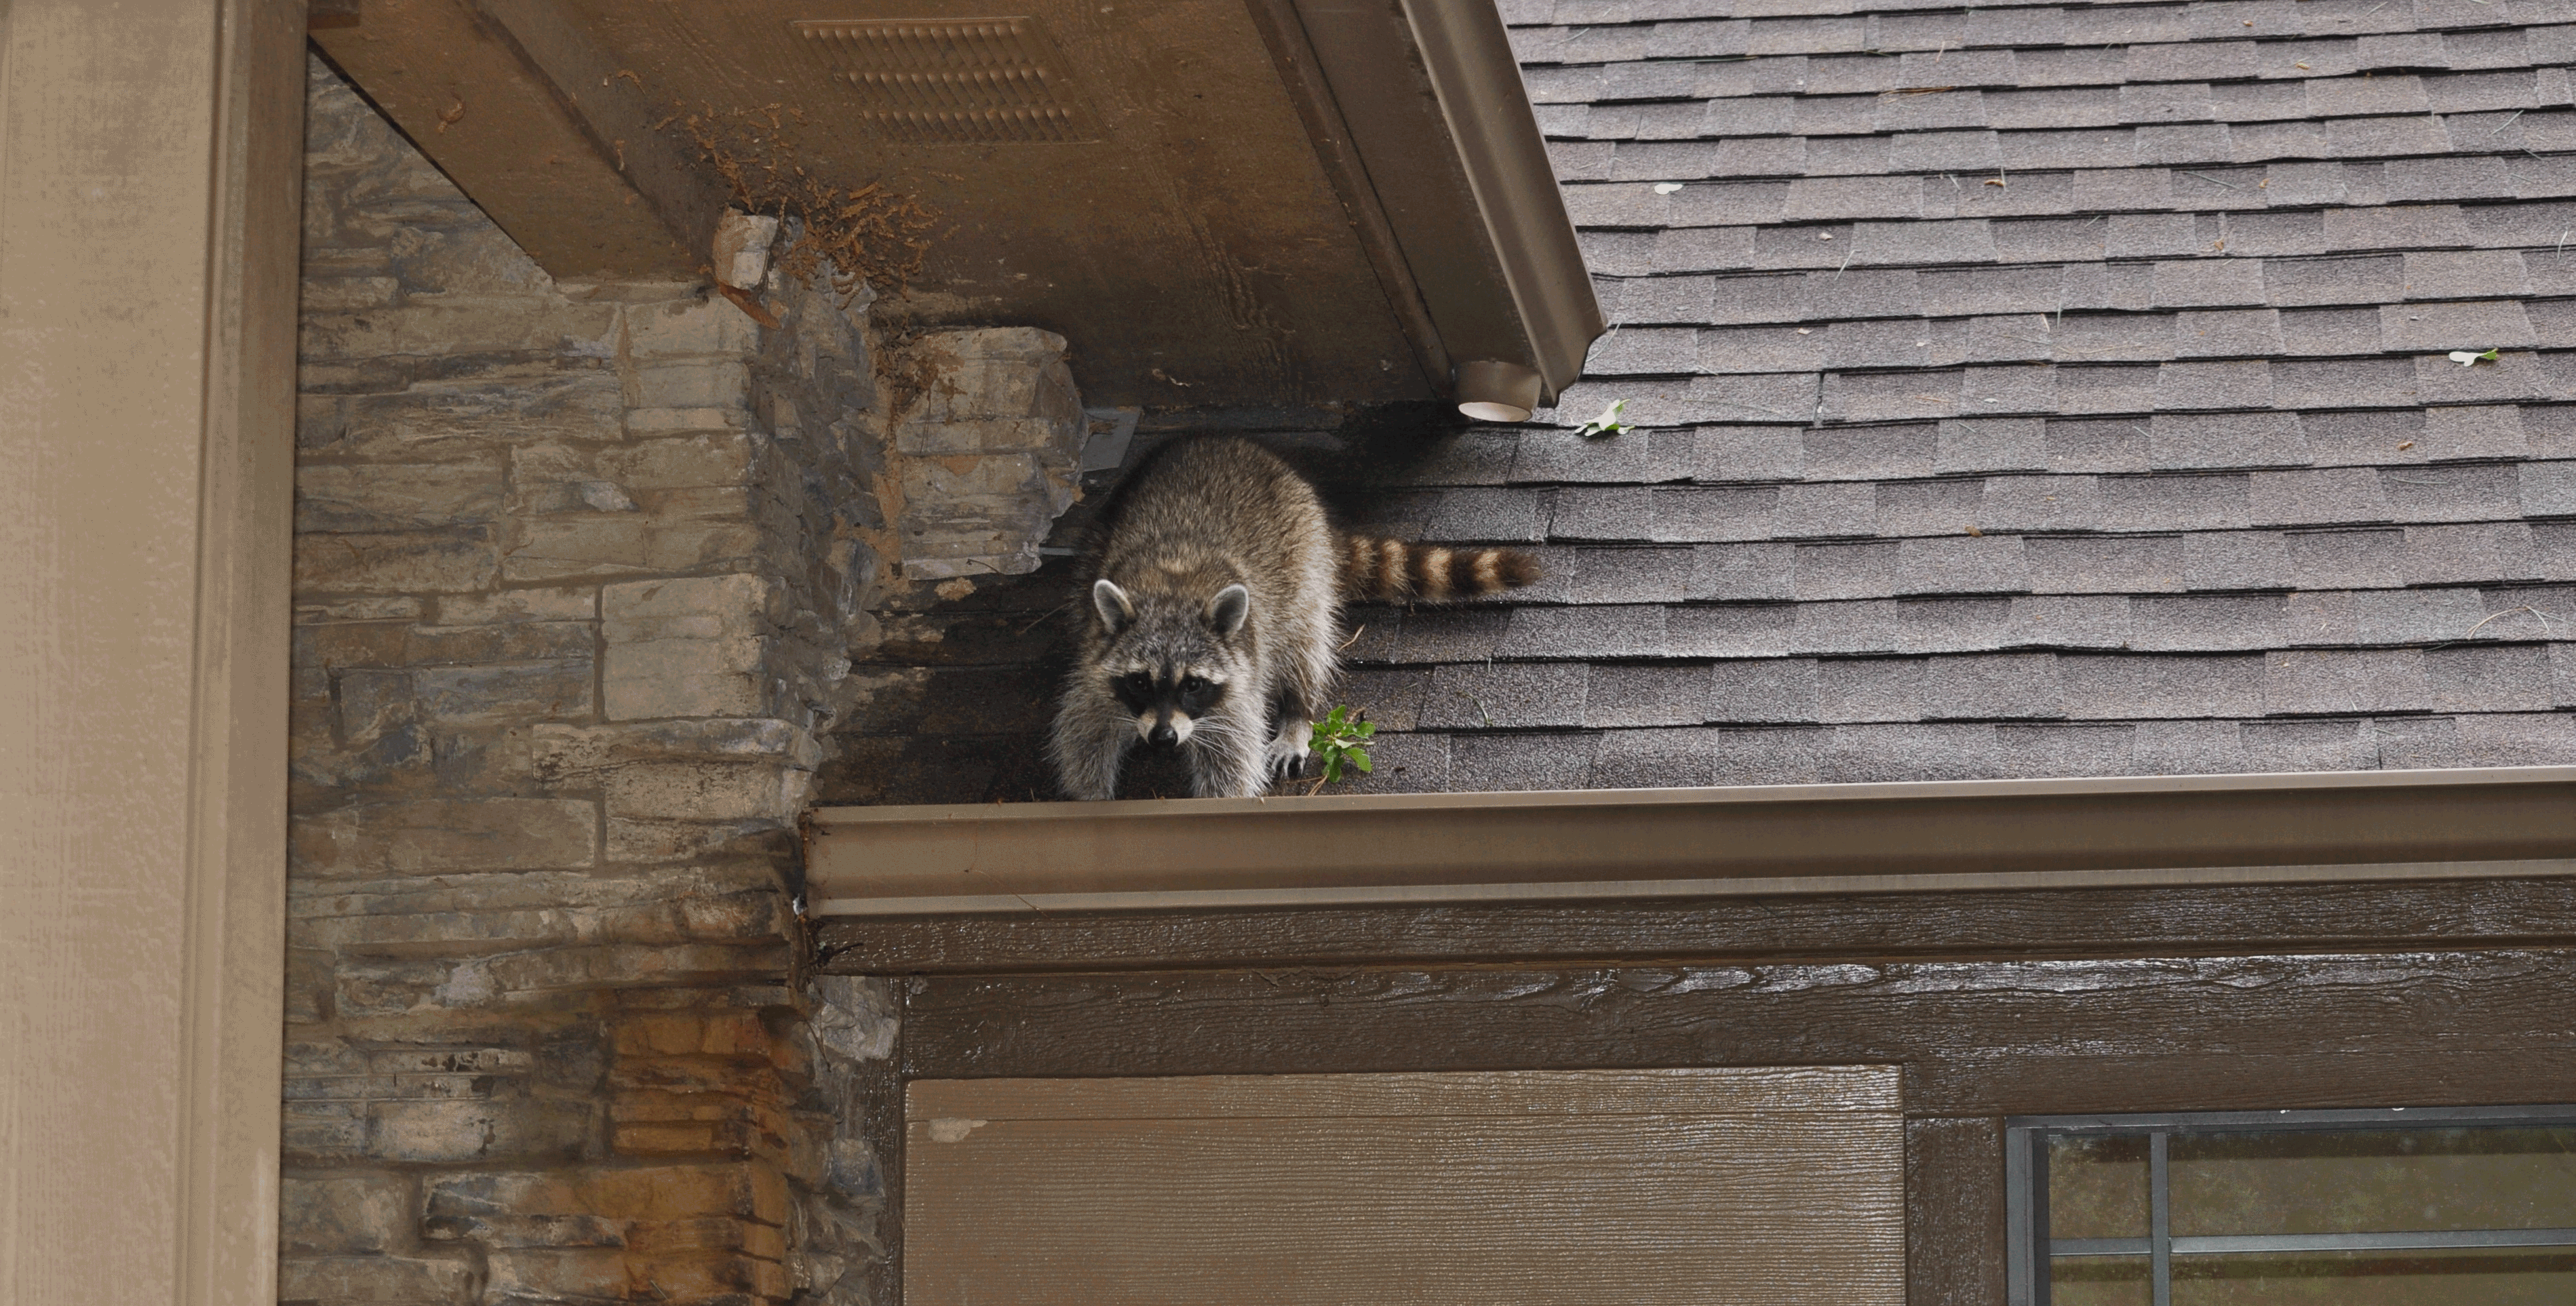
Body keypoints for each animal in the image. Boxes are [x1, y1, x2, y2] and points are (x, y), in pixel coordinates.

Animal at [1048, 436, 1539, 801]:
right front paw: (1091, 798)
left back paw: (1298, 713)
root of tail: (1230, 442)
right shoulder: (1096, 657)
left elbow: (1232, 755)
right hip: (1098, 544)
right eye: (1140, 681)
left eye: (1194, 684)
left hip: (1303, 568)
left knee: (1306, 645)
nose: (1164, 738)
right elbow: (1085, 728)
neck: (1173, 589)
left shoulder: (1242, 672)